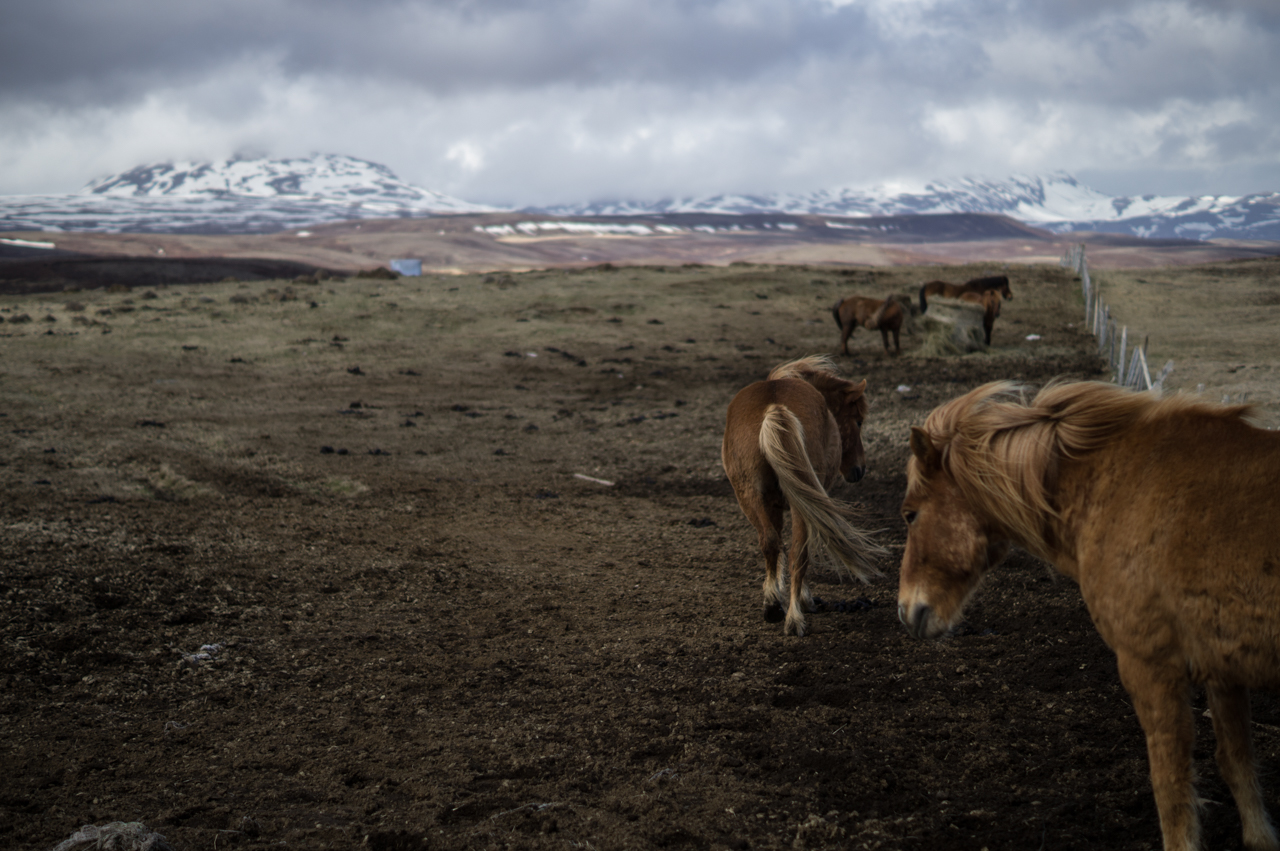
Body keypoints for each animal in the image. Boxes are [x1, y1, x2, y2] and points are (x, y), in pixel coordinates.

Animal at [727, 353, 885, 637]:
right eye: (858, 420)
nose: (859, 469)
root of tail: (774, 407)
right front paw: (805, 598)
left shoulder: (772, 504)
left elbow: (776, 543)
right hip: (800, 504)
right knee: (799, 551)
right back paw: (795, 618)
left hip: (749, 495)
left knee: (770, 541)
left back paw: (773, 607)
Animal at [896, 378, 1280, 849]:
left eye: (911, 514)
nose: (906, 610)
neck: (1115, 488)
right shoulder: (1223, 670)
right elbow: (1237, 762)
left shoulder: (1150, 668)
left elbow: (1171, 786)